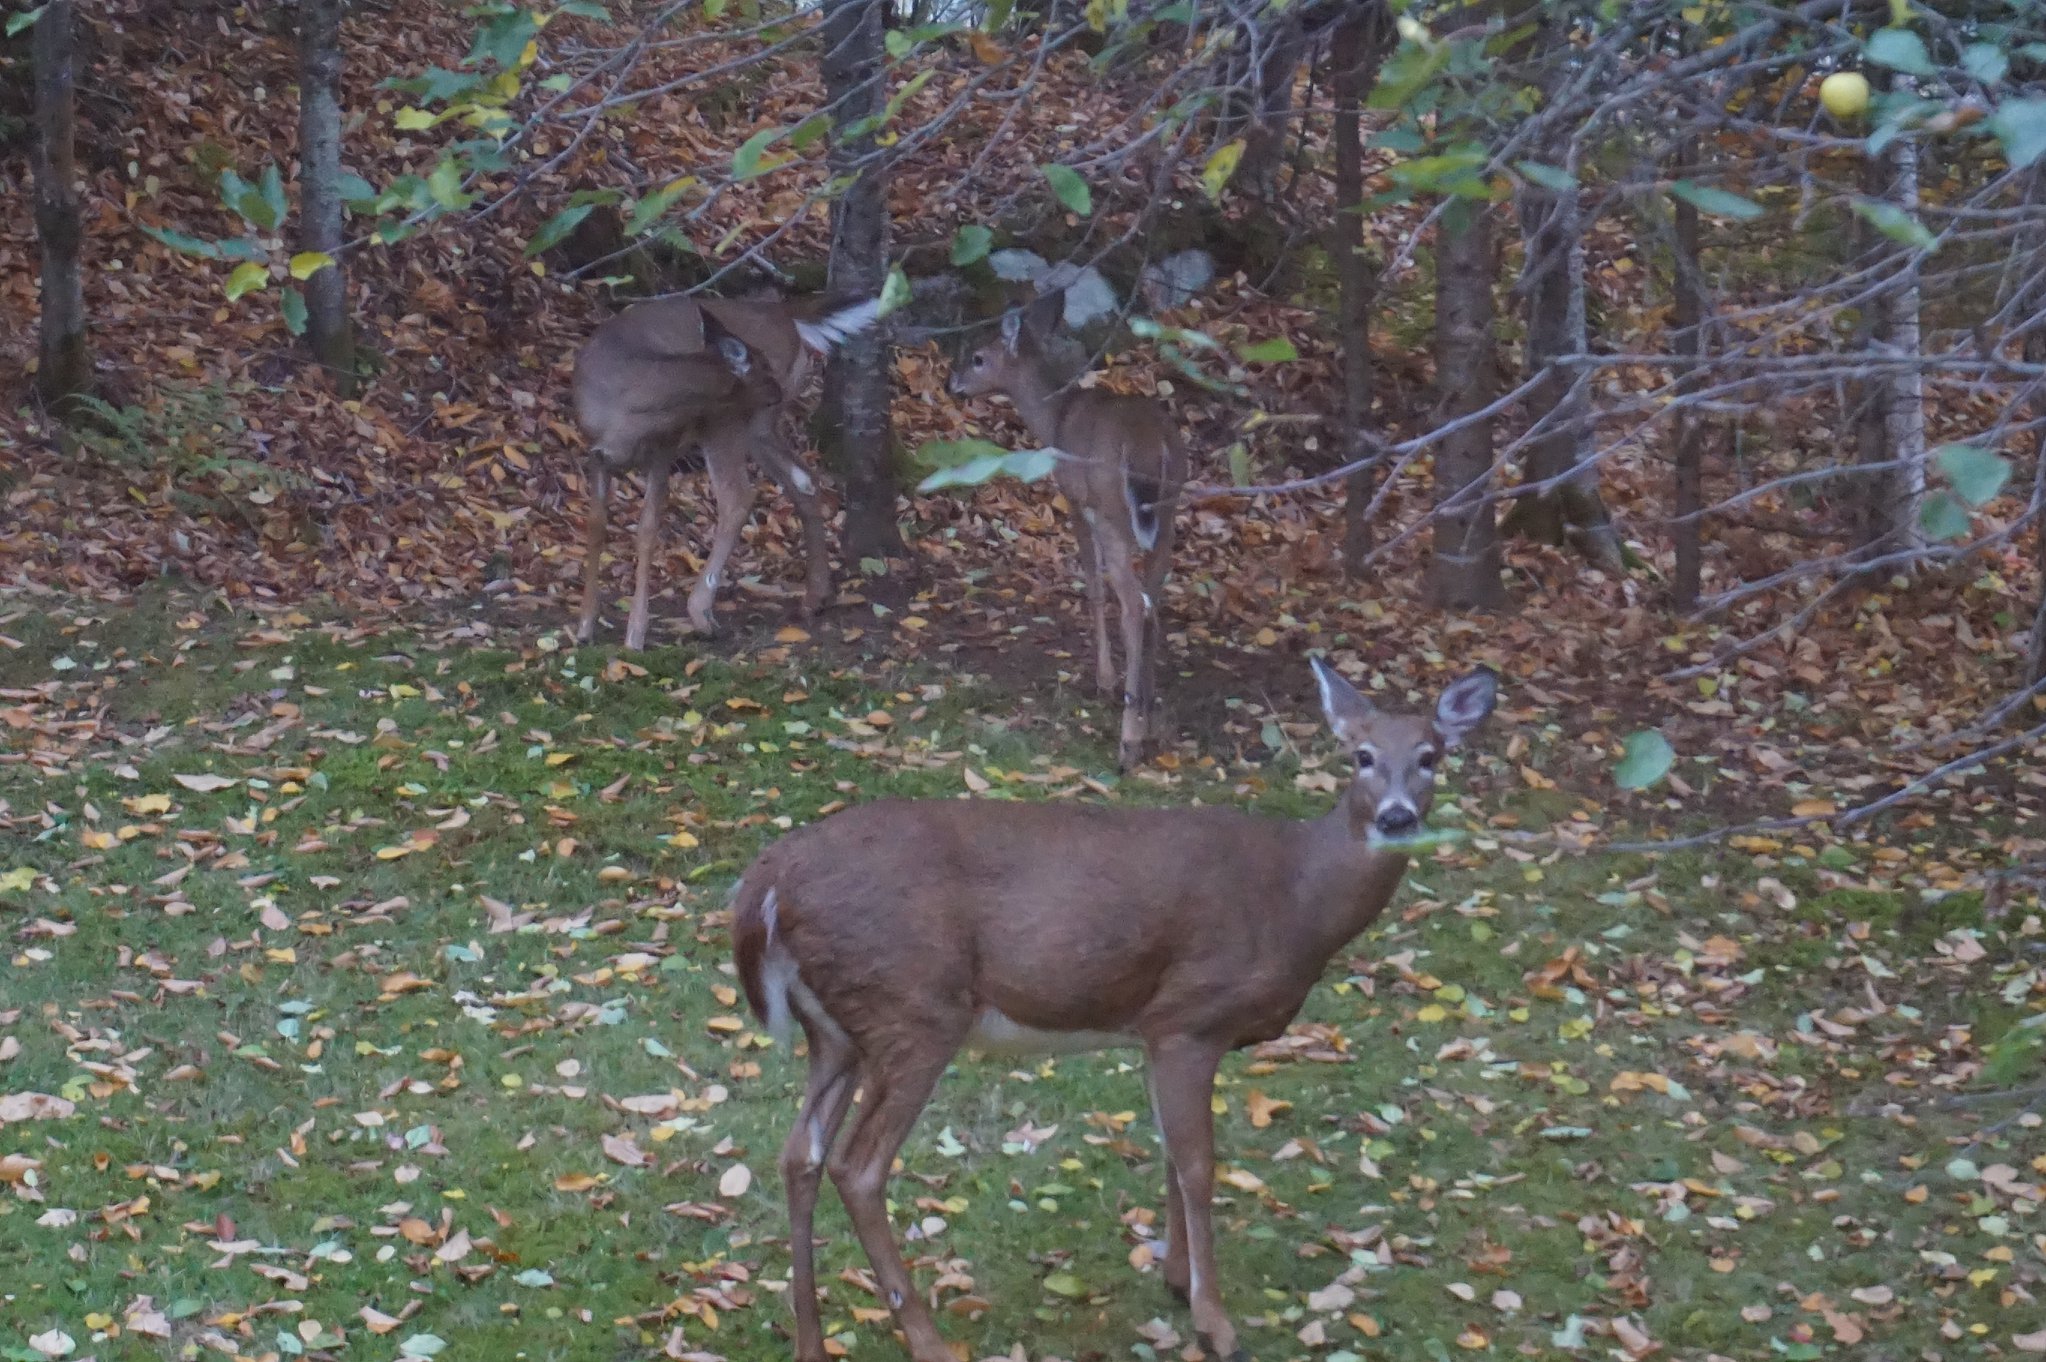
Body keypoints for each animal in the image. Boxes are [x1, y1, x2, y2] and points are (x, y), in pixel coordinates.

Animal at [572, 291, 882, 650]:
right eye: (762, 365)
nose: (776, 387)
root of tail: (787, 315)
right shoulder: (595, 454)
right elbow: (595, 525)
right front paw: (585, 626)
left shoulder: (664, 450)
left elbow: (647, 530)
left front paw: (635, 635)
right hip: (758, 425)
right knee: (803, 479)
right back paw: (816, 597)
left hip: (727, 421)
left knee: (738, 496)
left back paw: (701, 614)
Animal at [729, 658, 1499, 1362]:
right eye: (1361, 755)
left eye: (1431, 756)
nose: (1397, 816)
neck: (1298, 901)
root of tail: (767, 881)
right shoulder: (1191, 1017)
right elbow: (1198, 1163)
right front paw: (1215, 1324)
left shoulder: (1152, 1030)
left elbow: (1168, 1150)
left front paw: (1177, 1279)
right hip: (913, 1007)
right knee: (858, 1167)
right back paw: (930, 1343)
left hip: (839, 1031)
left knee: (799, 1153)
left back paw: (811, 1343)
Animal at [947, 295, 1188, 771]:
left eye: (978, 357)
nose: (952, 384)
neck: (1054, 418)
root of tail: (1153, 451)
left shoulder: (1075, 500)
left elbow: (1092, 586)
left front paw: (1105, 681)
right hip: (1169, 513)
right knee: (1153, 601)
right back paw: (1148, 714)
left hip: (1112, 509)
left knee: (1132, 605)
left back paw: (1128, 741)